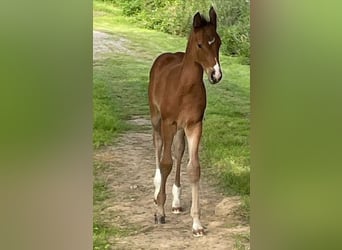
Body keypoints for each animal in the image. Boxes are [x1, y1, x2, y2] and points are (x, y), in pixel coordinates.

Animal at [148, 6, 223, 236]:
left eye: (218, 43)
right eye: (200, 44)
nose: (216, 75)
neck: (184, 87)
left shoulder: (194, 125)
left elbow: (194, 168)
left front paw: (197, 223)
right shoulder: (168, 123)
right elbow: (166, 163)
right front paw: (160, 212)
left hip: (180, 129)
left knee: (179, 151)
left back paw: (176, 202)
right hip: (156, 118)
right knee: (158, 145)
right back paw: (157, 191)